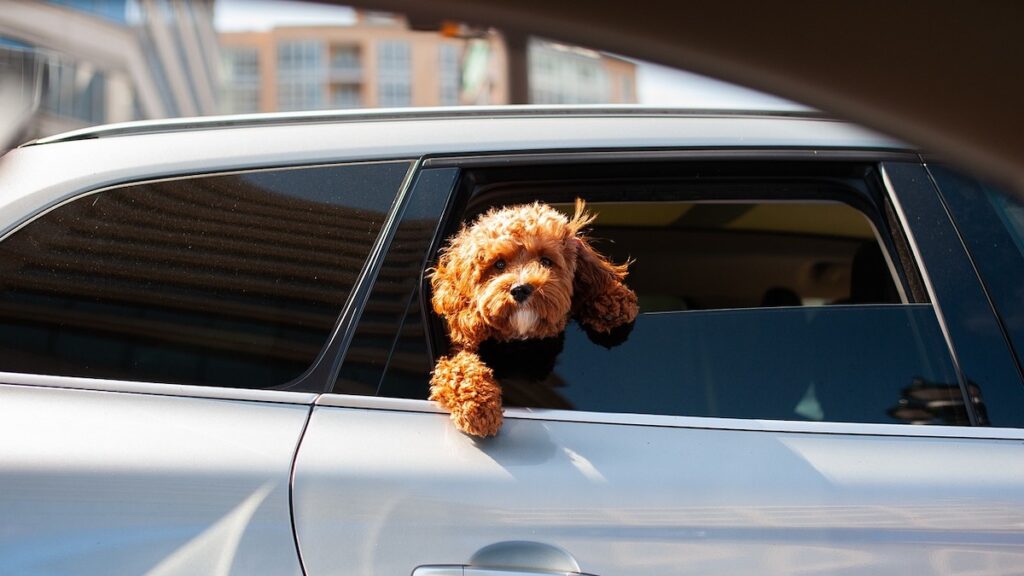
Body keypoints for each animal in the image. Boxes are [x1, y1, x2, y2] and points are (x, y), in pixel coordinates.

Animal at [428, 198, 634, 434]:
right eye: (499, 264)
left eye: (545, 261)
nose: (520, 289)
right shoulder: (457, 352)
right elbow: (457, 369)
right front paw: (478, 407)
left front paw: (614, 300)